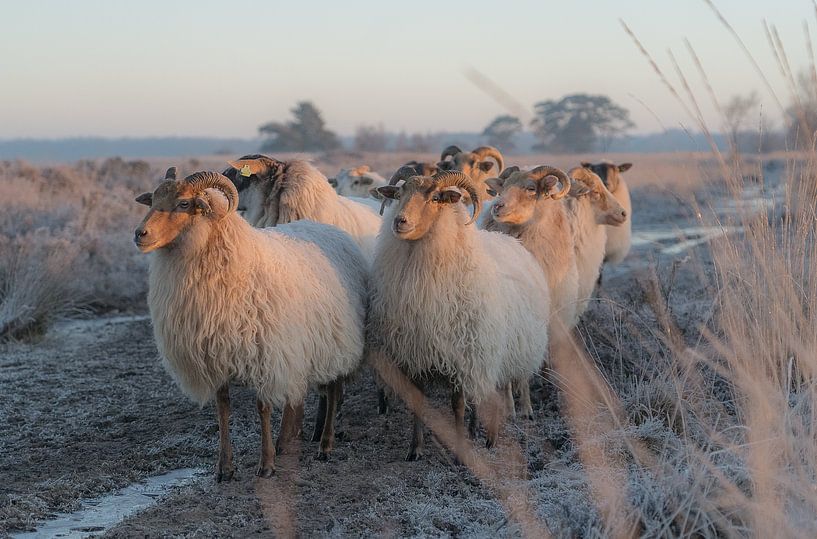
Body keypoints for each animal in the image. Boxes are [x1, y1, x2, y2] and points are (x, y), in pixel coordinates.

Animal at [133, 168, 366, 480]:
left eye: (183, 203)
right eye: (153, 199)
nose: (140, 234)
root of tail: (329, 229)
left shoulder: (265, 354)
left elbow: (262, 408)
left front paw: (266, 464)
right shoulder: (215, 357)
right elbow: (223, 410)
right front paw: (224, 467)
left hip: (338, 338)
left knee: (333, 390)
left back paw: (325, 444)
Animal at [370, 169, 548, 460]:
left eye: (435, 198)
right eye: (400, 194)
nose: (399, 221)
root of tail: (511, 241)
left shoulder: (461, 356)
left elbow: (457, 406)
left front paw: (460, 449)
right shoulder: (415, 353)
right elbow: (419, 403)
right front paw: (415, 448)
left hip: (496, 351)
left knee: (489, 394)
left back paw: (488, 436)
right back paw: (475, 430)